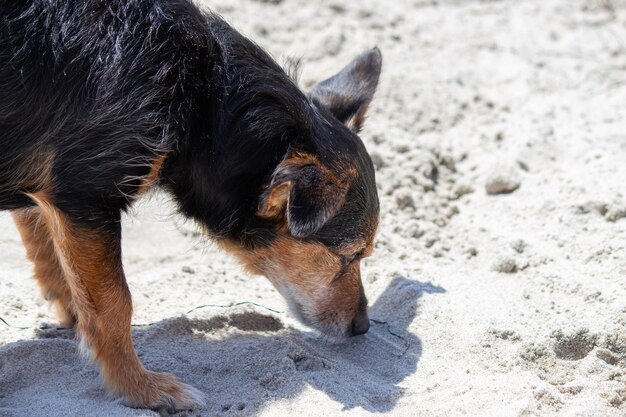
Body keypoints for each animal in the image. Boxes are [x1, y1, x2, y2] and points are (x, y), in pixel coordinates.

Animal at [0, 0, 380, 410]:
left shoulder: (47, 195)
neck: (204, 100)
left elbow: (54, 262)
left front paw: (75, 326)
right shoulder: (86, 196)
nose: (363, 326)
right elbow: (114, 304)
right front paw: (141, 389)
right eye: (349, 256)